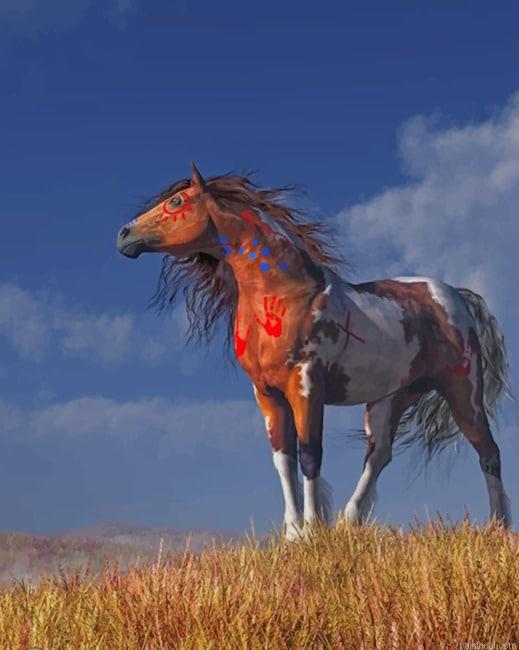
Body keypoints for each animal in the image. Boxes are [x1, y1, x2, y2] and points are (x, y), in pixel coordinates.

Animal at [116, 163, 511, 540]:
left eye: (176, 201)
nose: (124, 236)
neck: (287, 294)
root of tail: (457, 296)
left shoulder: (306, 385)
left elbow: (309, 455)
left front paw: (311, 530)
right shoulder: (267, 393)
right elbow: (283, 458)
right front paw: (293, 533)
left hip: (462, 390)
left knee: (488, 451)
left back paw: (499, 527)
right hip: (392, 397)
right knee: (379, 455)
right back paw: (349, 522)